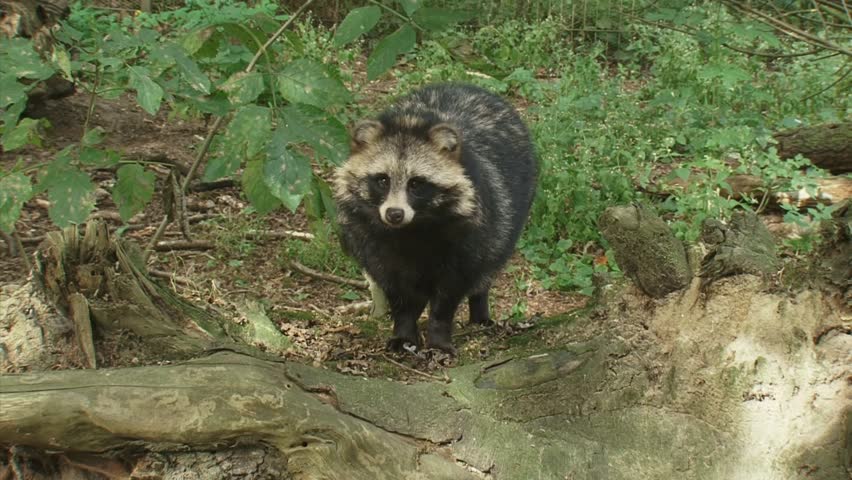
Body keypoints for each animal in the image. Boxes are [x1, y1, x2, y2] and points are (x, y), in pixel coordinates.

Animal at [333, 84, 537, 353]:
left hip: (512, 212)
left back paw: (479, 307)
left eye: (416, 184)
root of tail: (465, 86)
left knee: (491, 260)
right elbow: (398, 291)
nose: (394, 213)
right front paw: (404, 330)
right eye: (382, 180)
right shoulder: (373, 243)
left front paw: (439, 335)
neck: (411, 229)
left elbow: (450, 291)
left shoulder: (467, 237)